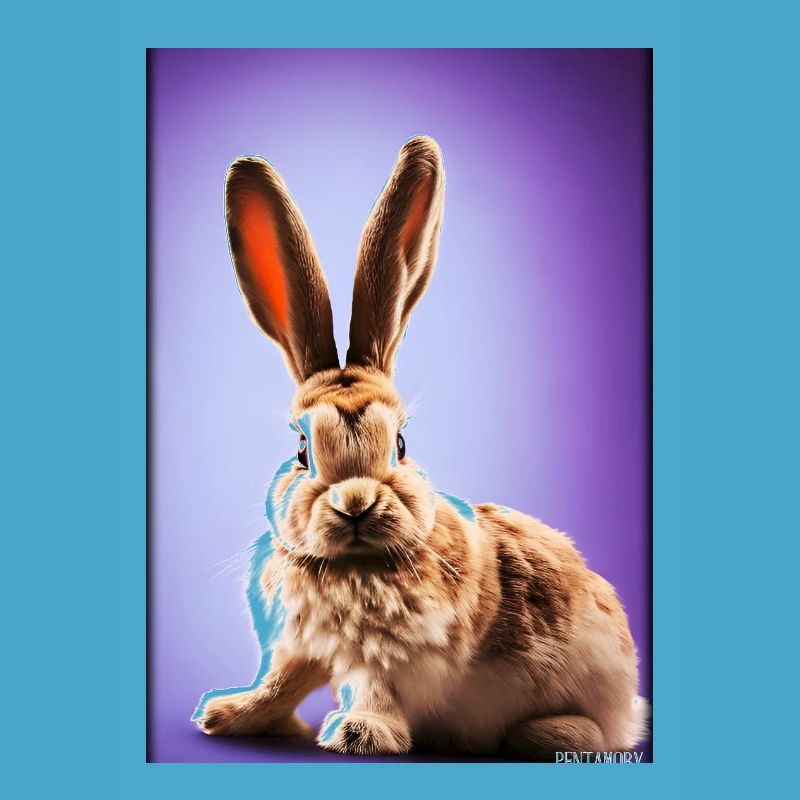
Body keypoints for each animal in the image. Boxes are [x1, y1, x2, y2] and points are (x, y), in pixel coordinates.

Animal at [192, 136, 649, 759]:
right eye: (302, 449)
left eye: (402, 443)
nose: (355, 503)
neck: (353, 566)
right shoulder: (297, 648)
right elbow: (279, 684)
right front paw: (226, 715)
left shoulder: (388, 657)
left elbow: (371, 690)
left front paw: (359, 734)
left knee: (594, 731)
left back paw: (543, 733)